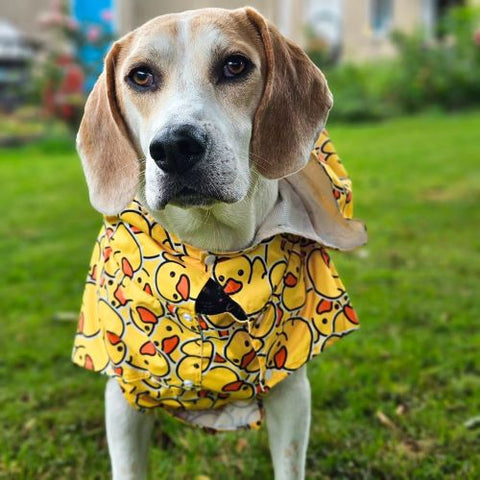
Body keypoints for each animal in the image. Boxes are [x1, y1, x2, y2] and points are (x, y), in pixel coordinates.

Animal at [73, 7, 368, 480]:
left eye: (234, 65)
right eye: (140, 76)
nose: (175, 147)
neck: (209, 249)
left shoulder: (291, 389)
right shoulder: (123, 398)